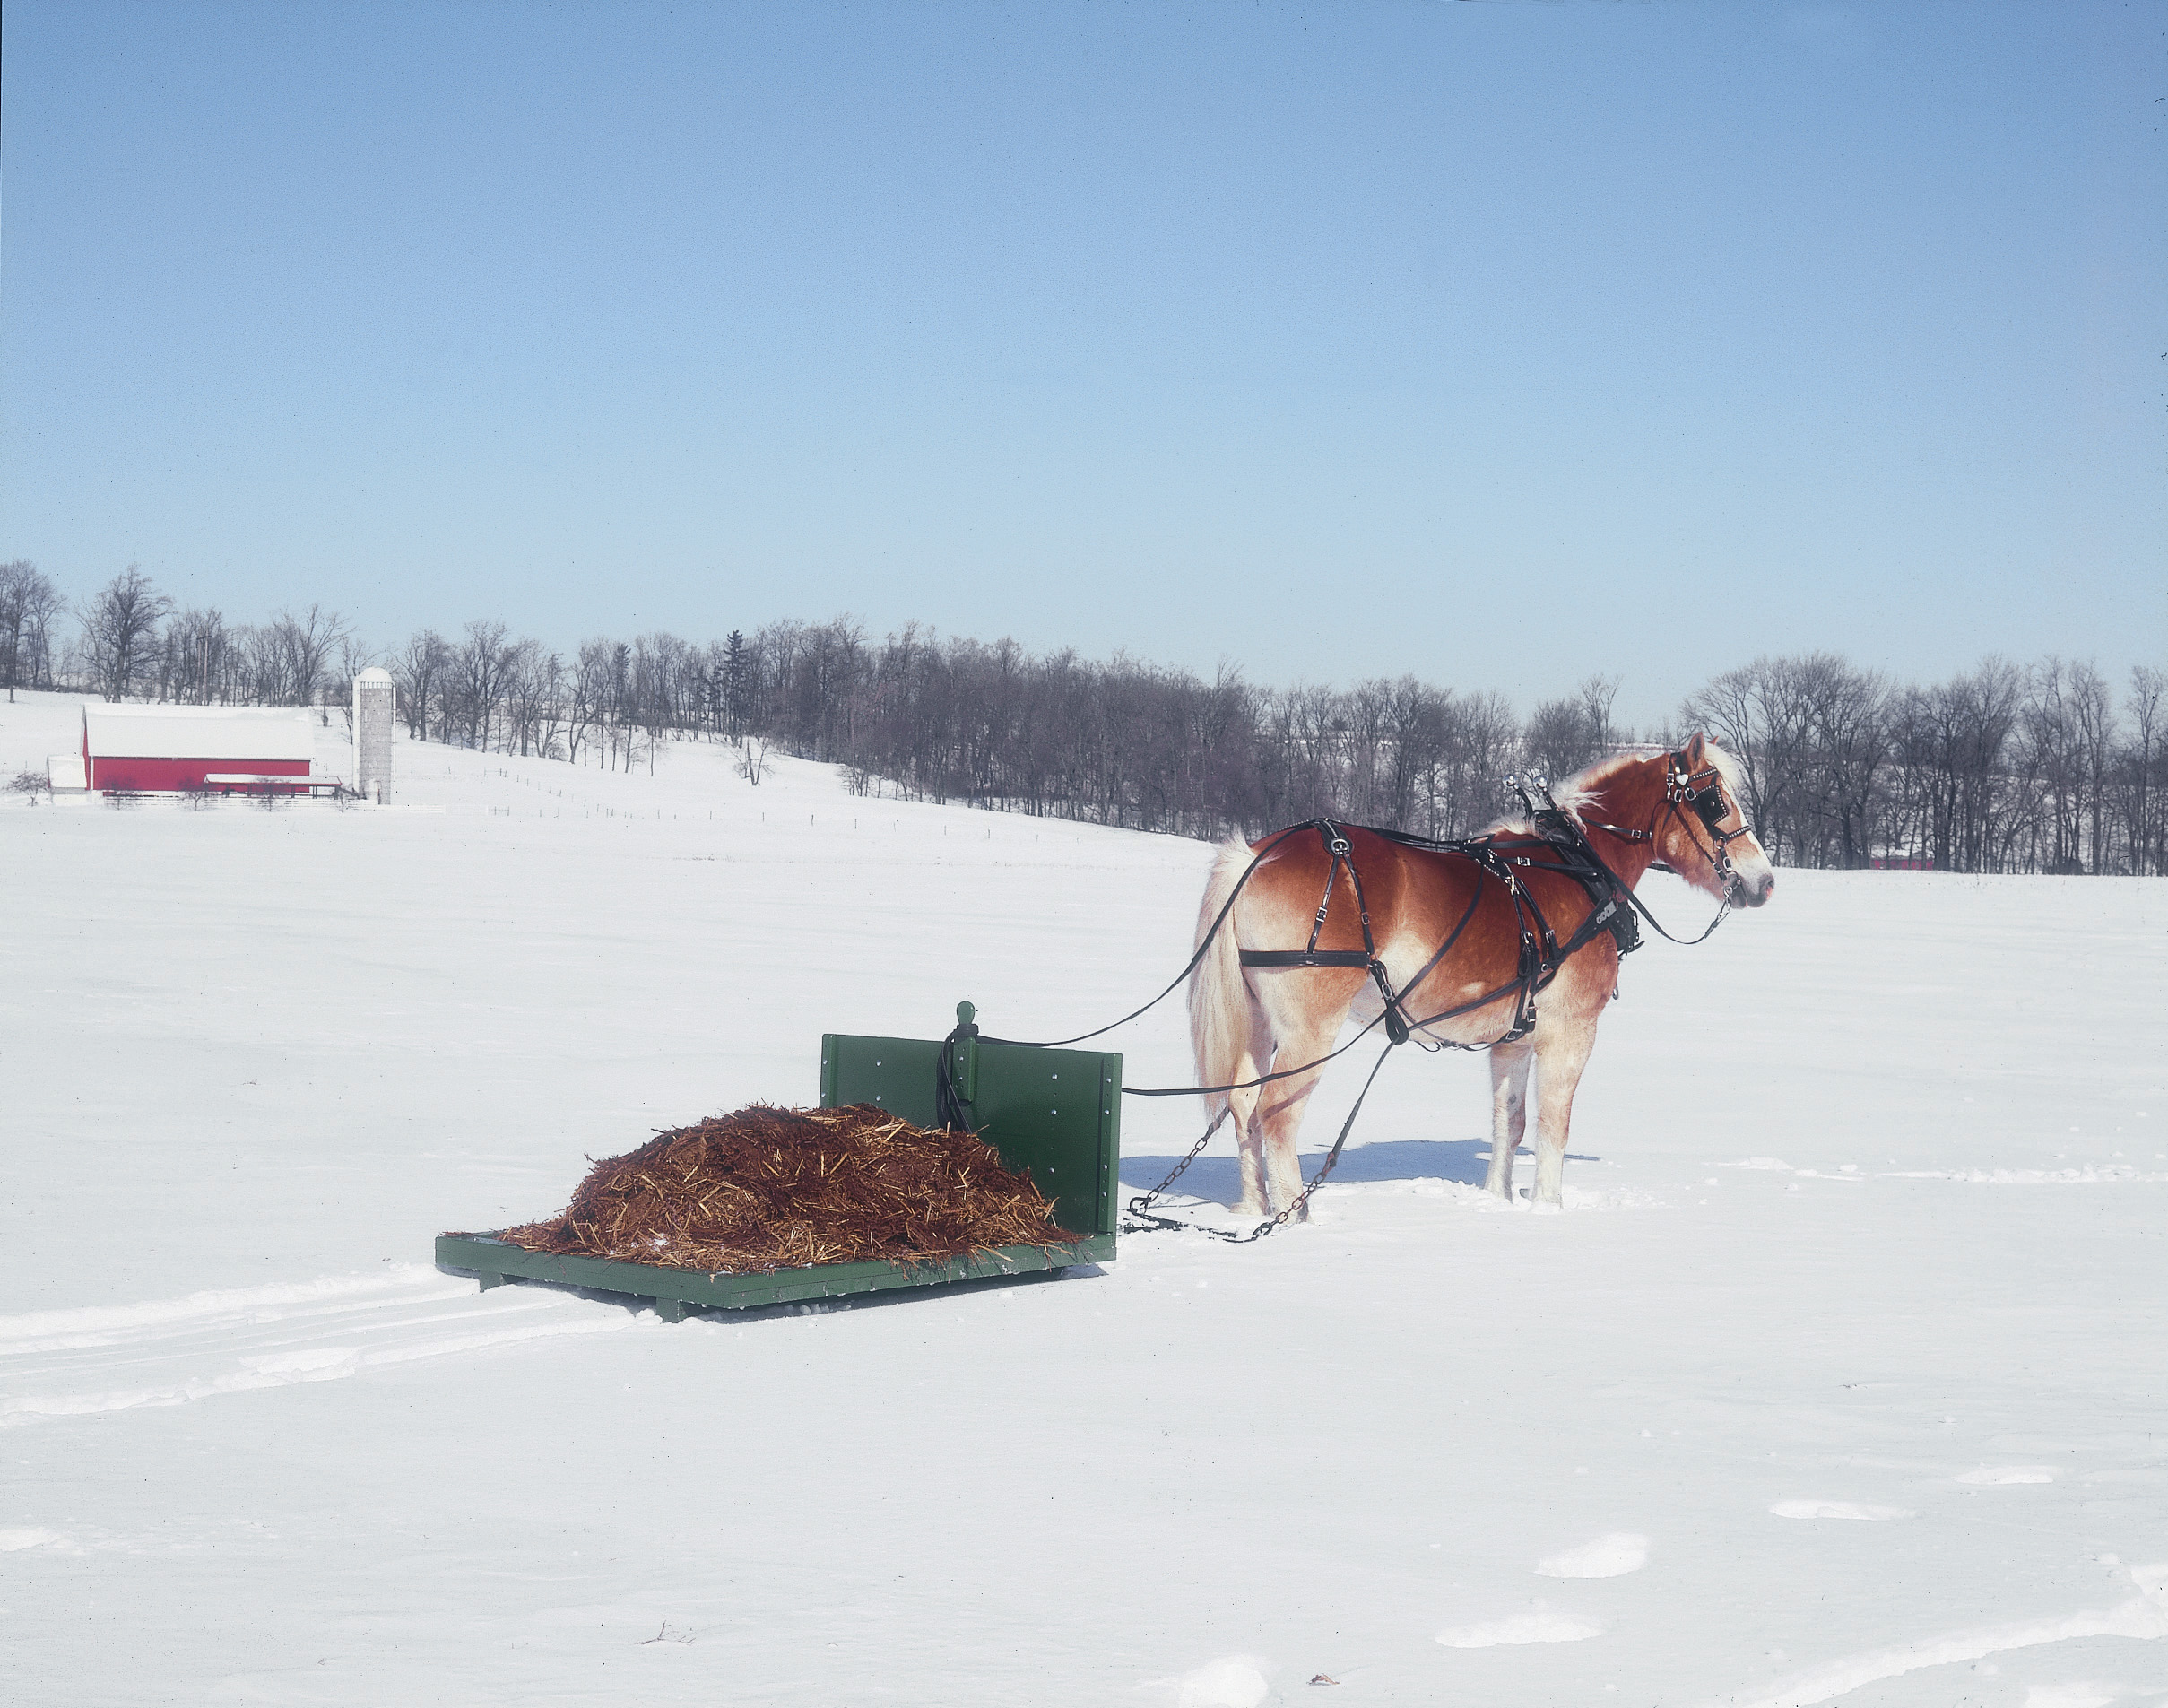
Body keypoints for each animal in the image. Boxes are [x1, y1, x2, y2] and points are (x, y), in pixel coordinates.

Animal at [1188, 733, 1777, 1213]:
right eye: (1716, 801)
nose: (1766, 881)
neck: (1577, 866)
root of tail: (1256, 854)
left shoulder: (1513, 1038)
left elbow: (1508, 1124)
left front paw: (1498, 1201)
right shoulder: (1570, 1032)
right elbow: (1553, 1123)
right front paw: (1547, 1208)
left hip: (1257, 1021)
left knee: (1243, 1105)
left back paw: (1253, 1208)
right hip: (1310, 1029)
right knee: (1276, 1115)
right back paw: (1295, 1218)